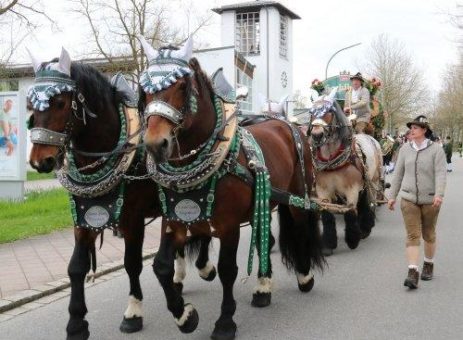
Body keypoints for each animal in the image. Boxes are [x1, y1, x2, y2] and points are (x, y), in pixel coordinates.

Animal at [28, 48, 216, 340]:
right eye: (30, 104)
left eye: (59, 102)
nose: (40, 161)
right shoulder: (84, 217)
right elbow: (76, 268)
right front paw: (76, 323)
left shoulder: (133, 218)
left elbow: (132, 263)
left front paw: (136, 312)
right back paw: (179, 277)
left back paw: (204, 267)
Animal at [141, 38, 326, 340]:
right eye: (143, 88)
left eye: (182, 86)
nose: (156, 144)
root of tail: (291, 126)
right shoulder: (175, 221)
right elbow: (161, 266)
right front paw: (185, 316)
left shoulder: (228, 226)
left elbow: (228, 269)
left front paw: (225, 322)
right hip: (263, 202)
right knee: (264, 239)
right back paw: (263, 287)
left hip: (298, 198)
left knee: (299, 231)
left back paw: (304, 275)